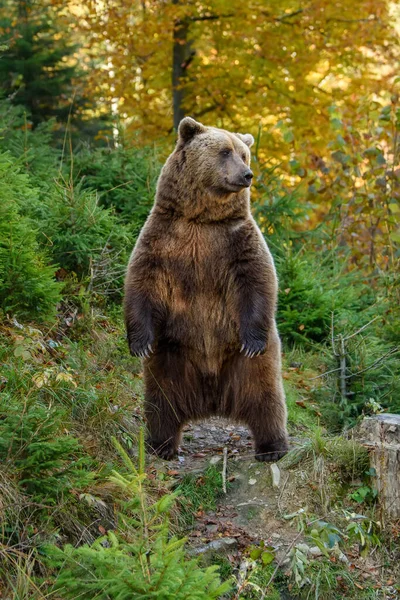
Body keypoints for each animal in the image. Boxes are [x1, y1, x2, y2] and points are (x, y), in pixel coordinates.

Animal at [124, 118, 288, 464]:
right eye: (225, 151)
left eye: (244, 154)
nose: (247, 175)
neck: (200, 218)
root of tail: (213, 399)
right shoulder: (163, 238)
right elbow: (142, 281)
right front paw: (139, 343)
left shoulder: (236, 239)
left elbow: (259, 279)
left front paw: (253, 340)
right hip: (171, 356)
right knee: (161, 403)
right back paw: (161, 445)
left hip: (247, 364)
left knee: (267, 399)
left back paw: (272, 447)